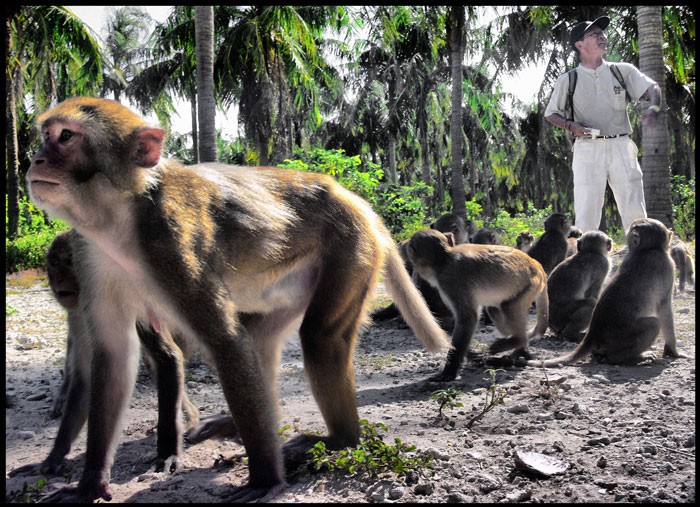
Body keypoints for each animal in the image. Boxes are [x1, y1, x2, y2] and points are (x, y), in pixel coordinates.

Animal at [9, 230, 200, 480]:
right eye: (55, 262)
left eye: (70, 260)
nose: (60, 279)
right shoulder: (78, 316)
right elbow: (86, 379)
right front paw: (53, 459)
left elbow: (168, 357)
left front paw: (167, 452)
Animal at [408, 229, 548, 380]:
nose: (414, 267)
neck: (444, 259)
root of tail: (537, 265)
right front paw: (470, 354)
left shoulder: (450, 280)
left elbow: (468, 318)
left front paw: (450, 370)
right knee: (494, 309)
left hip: (531, 284)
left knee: (509, 307)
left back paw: (519, 340)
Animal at [528, 218, 688, 370]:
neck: (648, 249)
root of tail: (593, 336)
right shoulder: (666, 266)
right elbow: (665, 308)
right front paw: (672, 351)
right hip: (617, 338)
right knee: (653, 323)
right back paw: (624, 358)